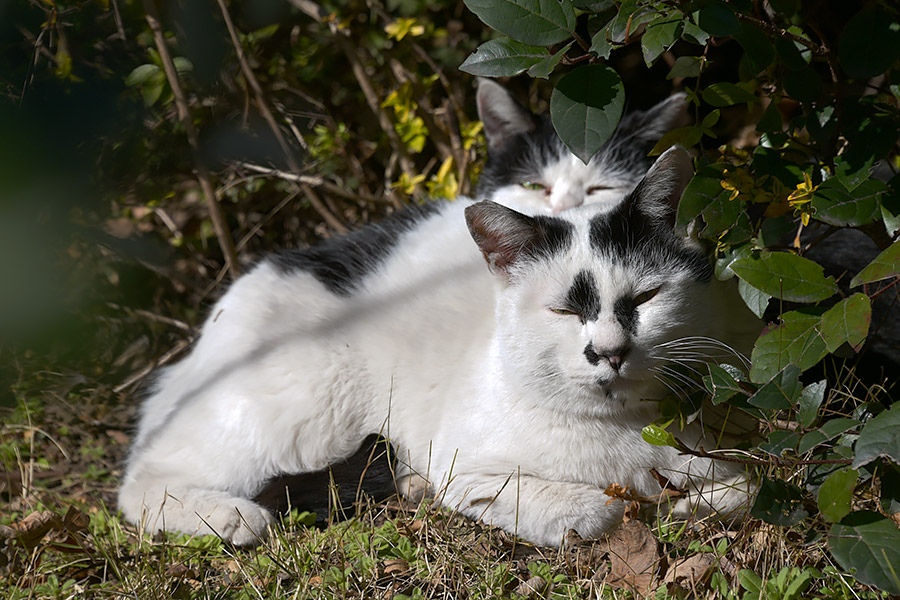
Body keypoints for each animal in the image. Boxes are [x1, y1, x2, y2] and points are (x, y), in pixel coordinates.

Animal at [118, 130, 760, 544]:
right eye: (563, 310)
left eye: (646, 298)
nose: (610, 352)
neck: (632, 435)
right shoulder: (468, 469)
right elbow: (594, 510)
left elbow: (748, 487)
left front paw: (691, 507)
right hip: (306, 407)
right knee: (141, 481)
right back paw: (231, 518)